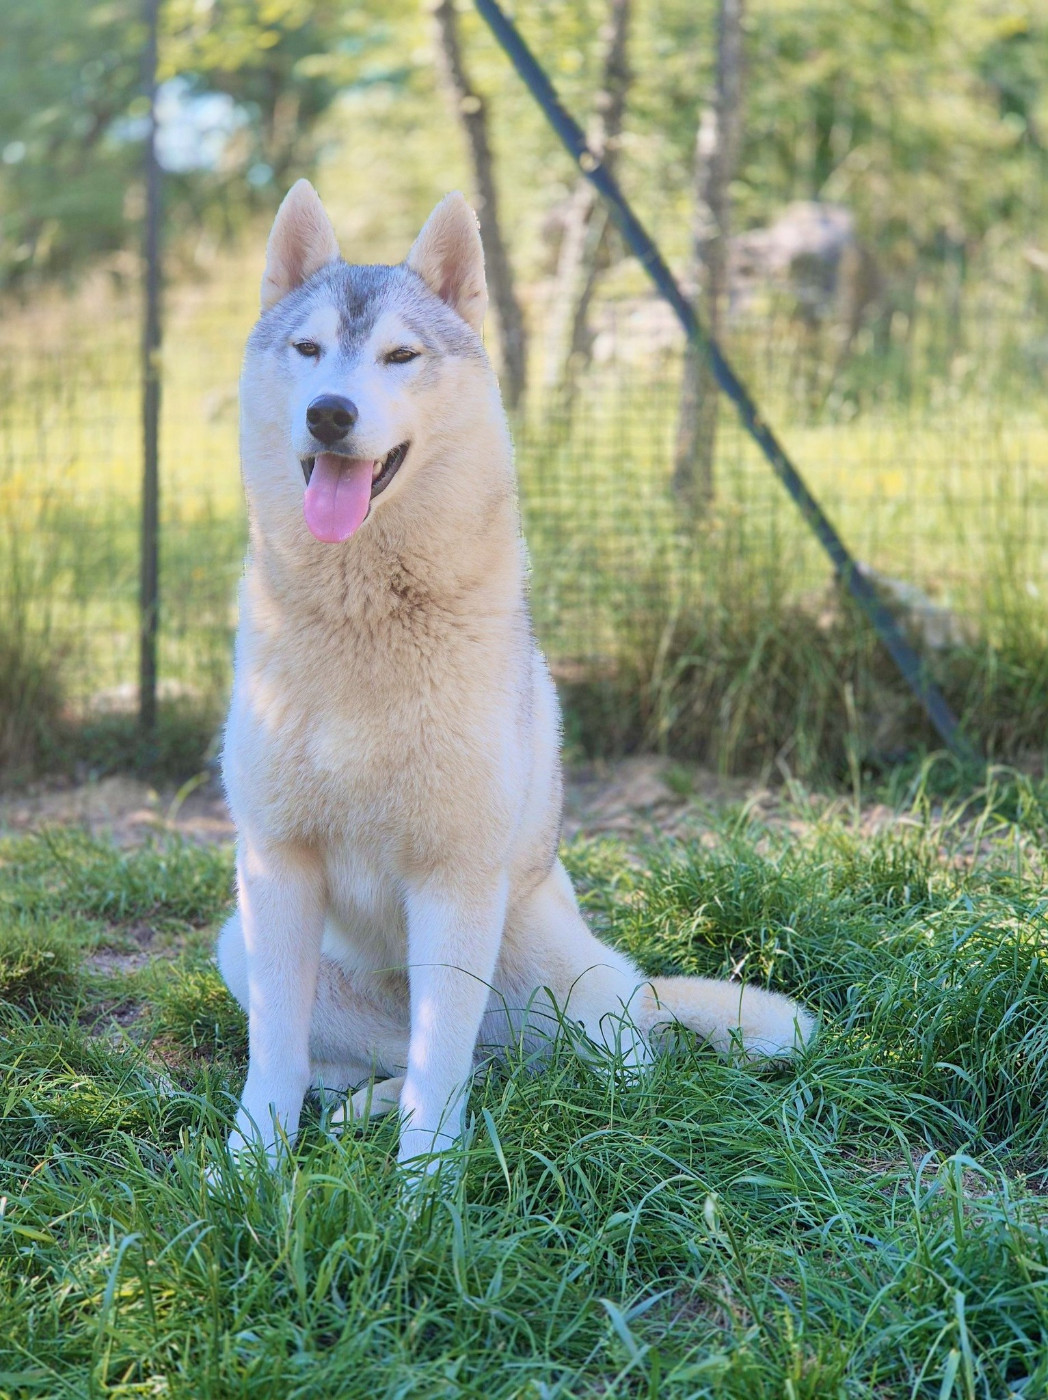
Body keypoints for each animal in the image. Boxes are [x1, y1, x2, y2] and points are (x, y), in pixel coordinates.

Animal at [217, 180, 814, 1170]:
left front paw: (424, 1186)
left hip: (552, 973)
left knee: (556, 1066)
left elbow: (442, 1068)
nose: (330, 412)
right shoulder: (276, 865)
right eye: (307, 350)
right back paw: (350, 1102)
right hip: (244, 938)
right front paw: (247, 1170)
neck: (366, 618)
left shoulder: (456, 877)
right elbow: (275, 1059)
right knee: (384, 1056)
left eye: (400, 355)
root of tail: (634, 988)